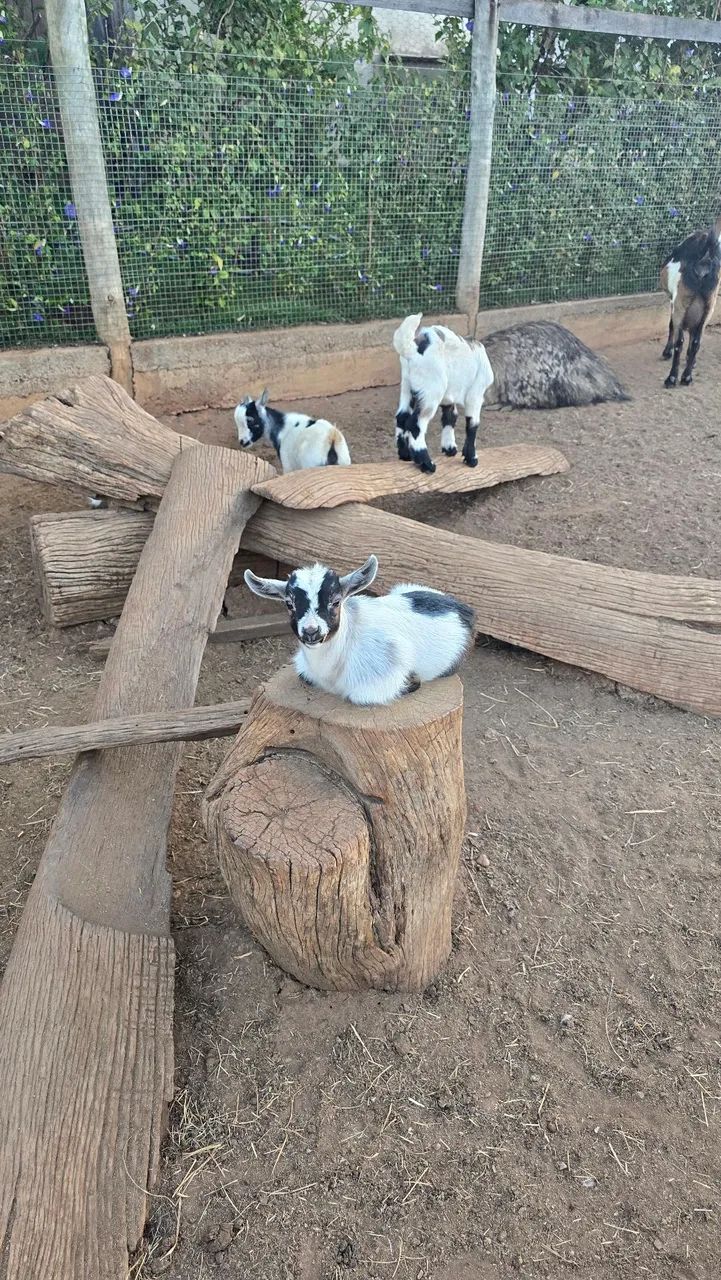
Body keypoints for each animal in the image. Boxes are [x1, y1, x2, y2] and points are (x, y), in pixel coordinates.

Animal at [392, 314, 494, 474]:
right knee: (415, 423)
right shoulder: (475, 394)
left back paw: (405, 455)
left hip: (408, 386)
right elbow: (472, 424)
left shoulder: (448, 397)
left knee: (402, 417)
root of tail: (411, 349)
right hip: (431, 390)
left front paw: (450, 449)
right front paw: (471, 458)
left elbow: (450, 417)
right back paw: (426, 464)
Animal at [660, 215, 721, 388]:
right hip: (709, 306)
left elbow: (671, 325)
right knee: (695, 342)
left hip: (682, 303)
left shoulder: (674, 301)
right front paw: (691, 363)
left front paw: (667, 352)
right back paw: (686, 377)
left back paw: (671, 378)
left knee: (680, 340)